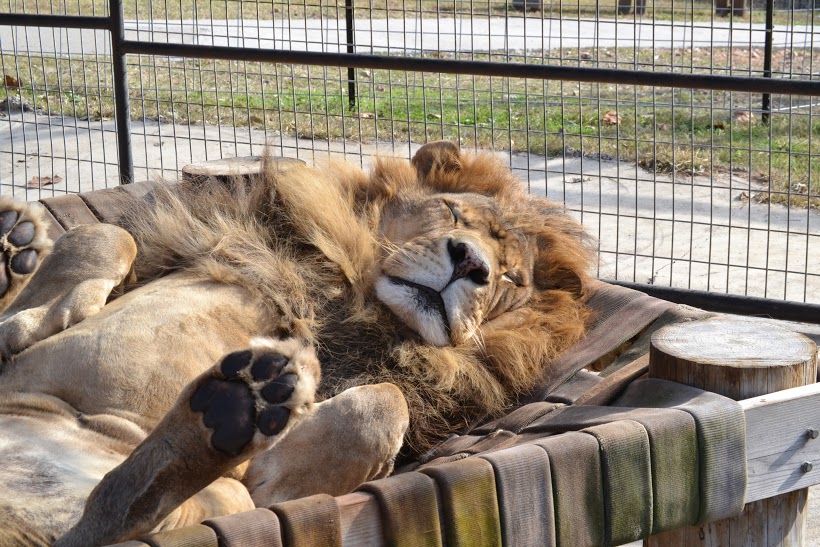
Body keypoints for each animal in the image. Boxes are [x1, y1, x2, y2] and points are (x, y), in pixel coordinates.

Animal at [0, 142, 592, 547]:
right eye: (452, 212)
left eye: (511, 278)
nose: (472, 263)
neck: (353, 290)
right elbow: (104, 236)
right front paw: (20, 323)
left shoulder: (269, 490)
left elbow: (387, 402)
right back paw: (16, 247)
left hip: (214, 494)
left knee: (110, 514)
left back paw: (232, 406)